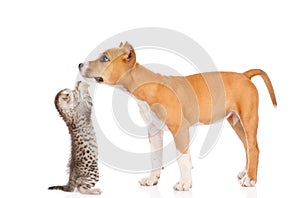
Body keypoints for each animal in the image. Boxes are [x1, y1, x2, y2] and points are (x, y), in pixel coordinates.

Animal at [79, 41, 276, 190]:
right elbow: (155, 157)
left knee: (254, 147)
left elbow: (183, 159)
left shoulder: (180, 129)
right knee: (247, 146)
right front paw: (152, 179)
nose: (80, 64)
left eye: (105, 58)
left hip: (249, 119)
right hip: (235, 121)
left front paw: (185, 183)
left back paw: (250, 179)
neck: (146, 85)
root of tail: (244, 75)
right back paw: (246, 173)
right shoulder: (154, 131)